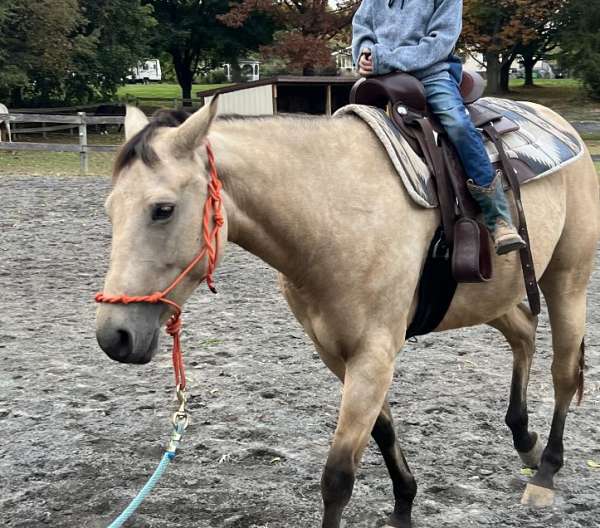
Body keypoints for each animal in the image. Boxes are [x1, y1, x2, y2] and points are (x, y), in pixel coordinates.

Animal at [95, 96, 600, 528]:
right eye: (110, 209)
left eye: (163, 209)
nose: (113, 336)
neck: (335, 213)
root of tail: (560, 125)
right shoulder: (337, 352)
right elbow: (383, 431)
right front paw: (403, 505)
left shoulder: (374, 355)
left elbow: (337, 477)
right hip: (492, 298)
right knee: (524, 334)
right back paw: (525, 440)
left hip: (567, 281)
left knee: (562, 372)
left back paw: (545, 473)